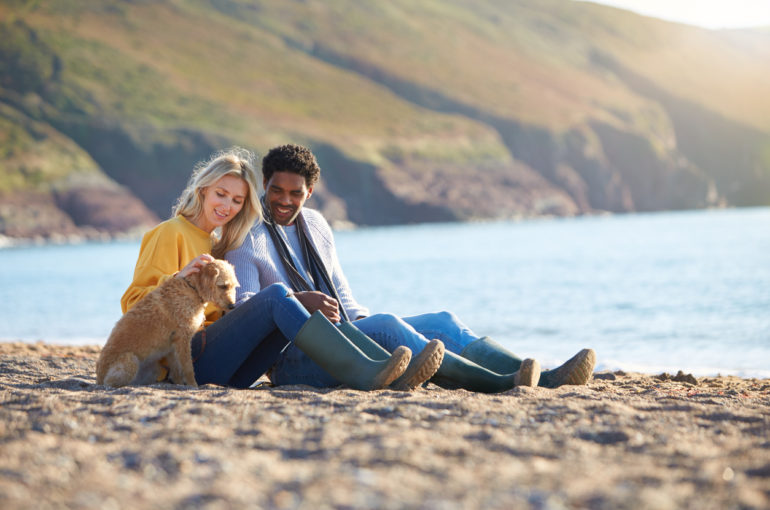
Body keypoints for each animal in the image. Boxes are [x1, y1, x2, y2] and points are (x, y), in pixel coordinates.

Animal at [97, 258, 238, 386]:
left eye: (233, 286)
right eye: (223, 286)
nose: (232, 306)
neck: (192, 288)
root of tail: (98, 377)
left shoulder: (172, 346)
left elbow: (176, 371)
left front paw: (180, 384)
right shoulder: (183, 340)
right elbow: (188, 368)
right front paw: (193, 386)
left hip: (153, 370)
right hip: (130, 361)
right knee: (110, 383)